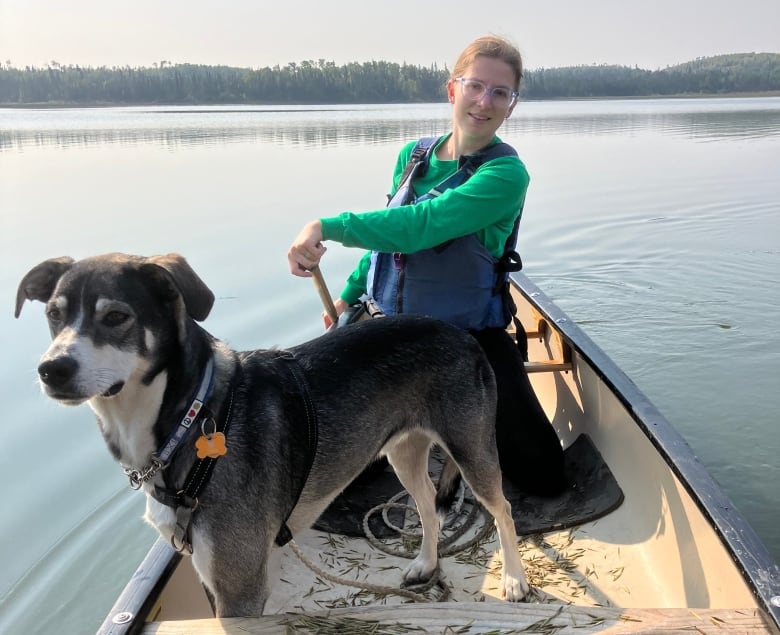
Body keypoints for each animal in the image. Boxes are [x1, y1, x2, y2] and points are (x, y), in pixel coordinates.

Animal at [15, 252, 532, 616]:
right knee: (426, 506)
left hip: (470, 449)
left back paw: (514, 580)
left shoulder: (240, 587)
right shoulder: (212, 576)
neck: (192, 419)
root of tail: (463, 334)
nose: (51, 370)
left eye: (116, 317)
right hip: (402, 452)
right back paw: (426, 563)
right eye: (54, 315)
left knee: (502, 508)